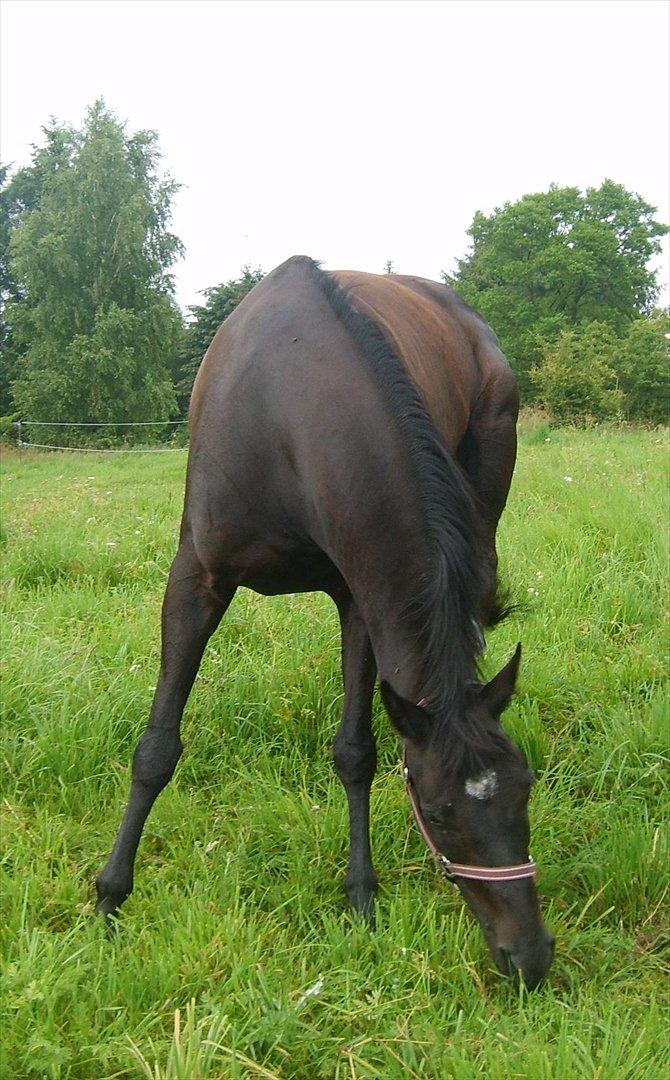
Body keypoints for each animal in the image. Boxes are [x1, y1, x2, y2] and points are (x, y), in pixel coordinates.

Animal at [95, 252, 553, 989]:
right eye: (439, 811)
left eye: (526, 791)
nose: (530, 955)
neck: (285, 408)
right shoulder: (197, 581)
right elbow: (157, 748)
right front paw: (111, 896)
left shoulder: (361, 596)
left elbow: (356, 751)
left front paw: (361, 893)